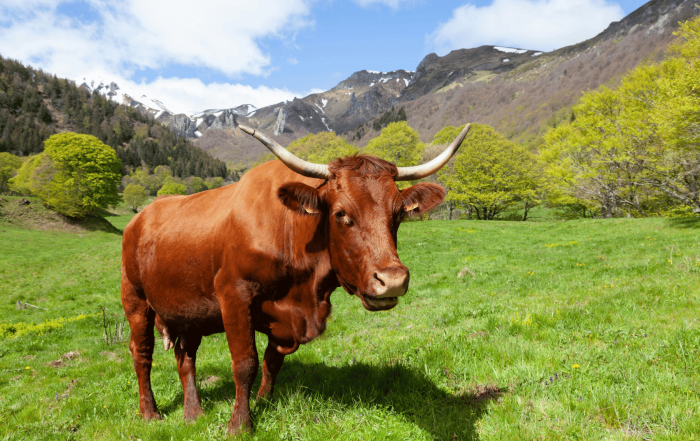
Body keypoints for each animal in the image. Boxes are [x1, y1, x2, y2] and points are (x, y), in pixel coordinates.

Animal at [120, 123, 471, 435]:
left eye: (398, 214)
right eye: (341, 214)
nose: (393, 279)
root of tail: (141, 216)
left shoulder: (285, 320)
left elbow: (271, 361)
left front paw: (263, 402)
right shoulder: (233, 294)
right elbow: (244, 363)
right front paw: (240, 424)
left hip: (188, 311)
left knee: (185, 356)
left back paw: (193, 413)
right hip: (136, 299)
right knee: (142, 354)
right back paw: (150, 413)